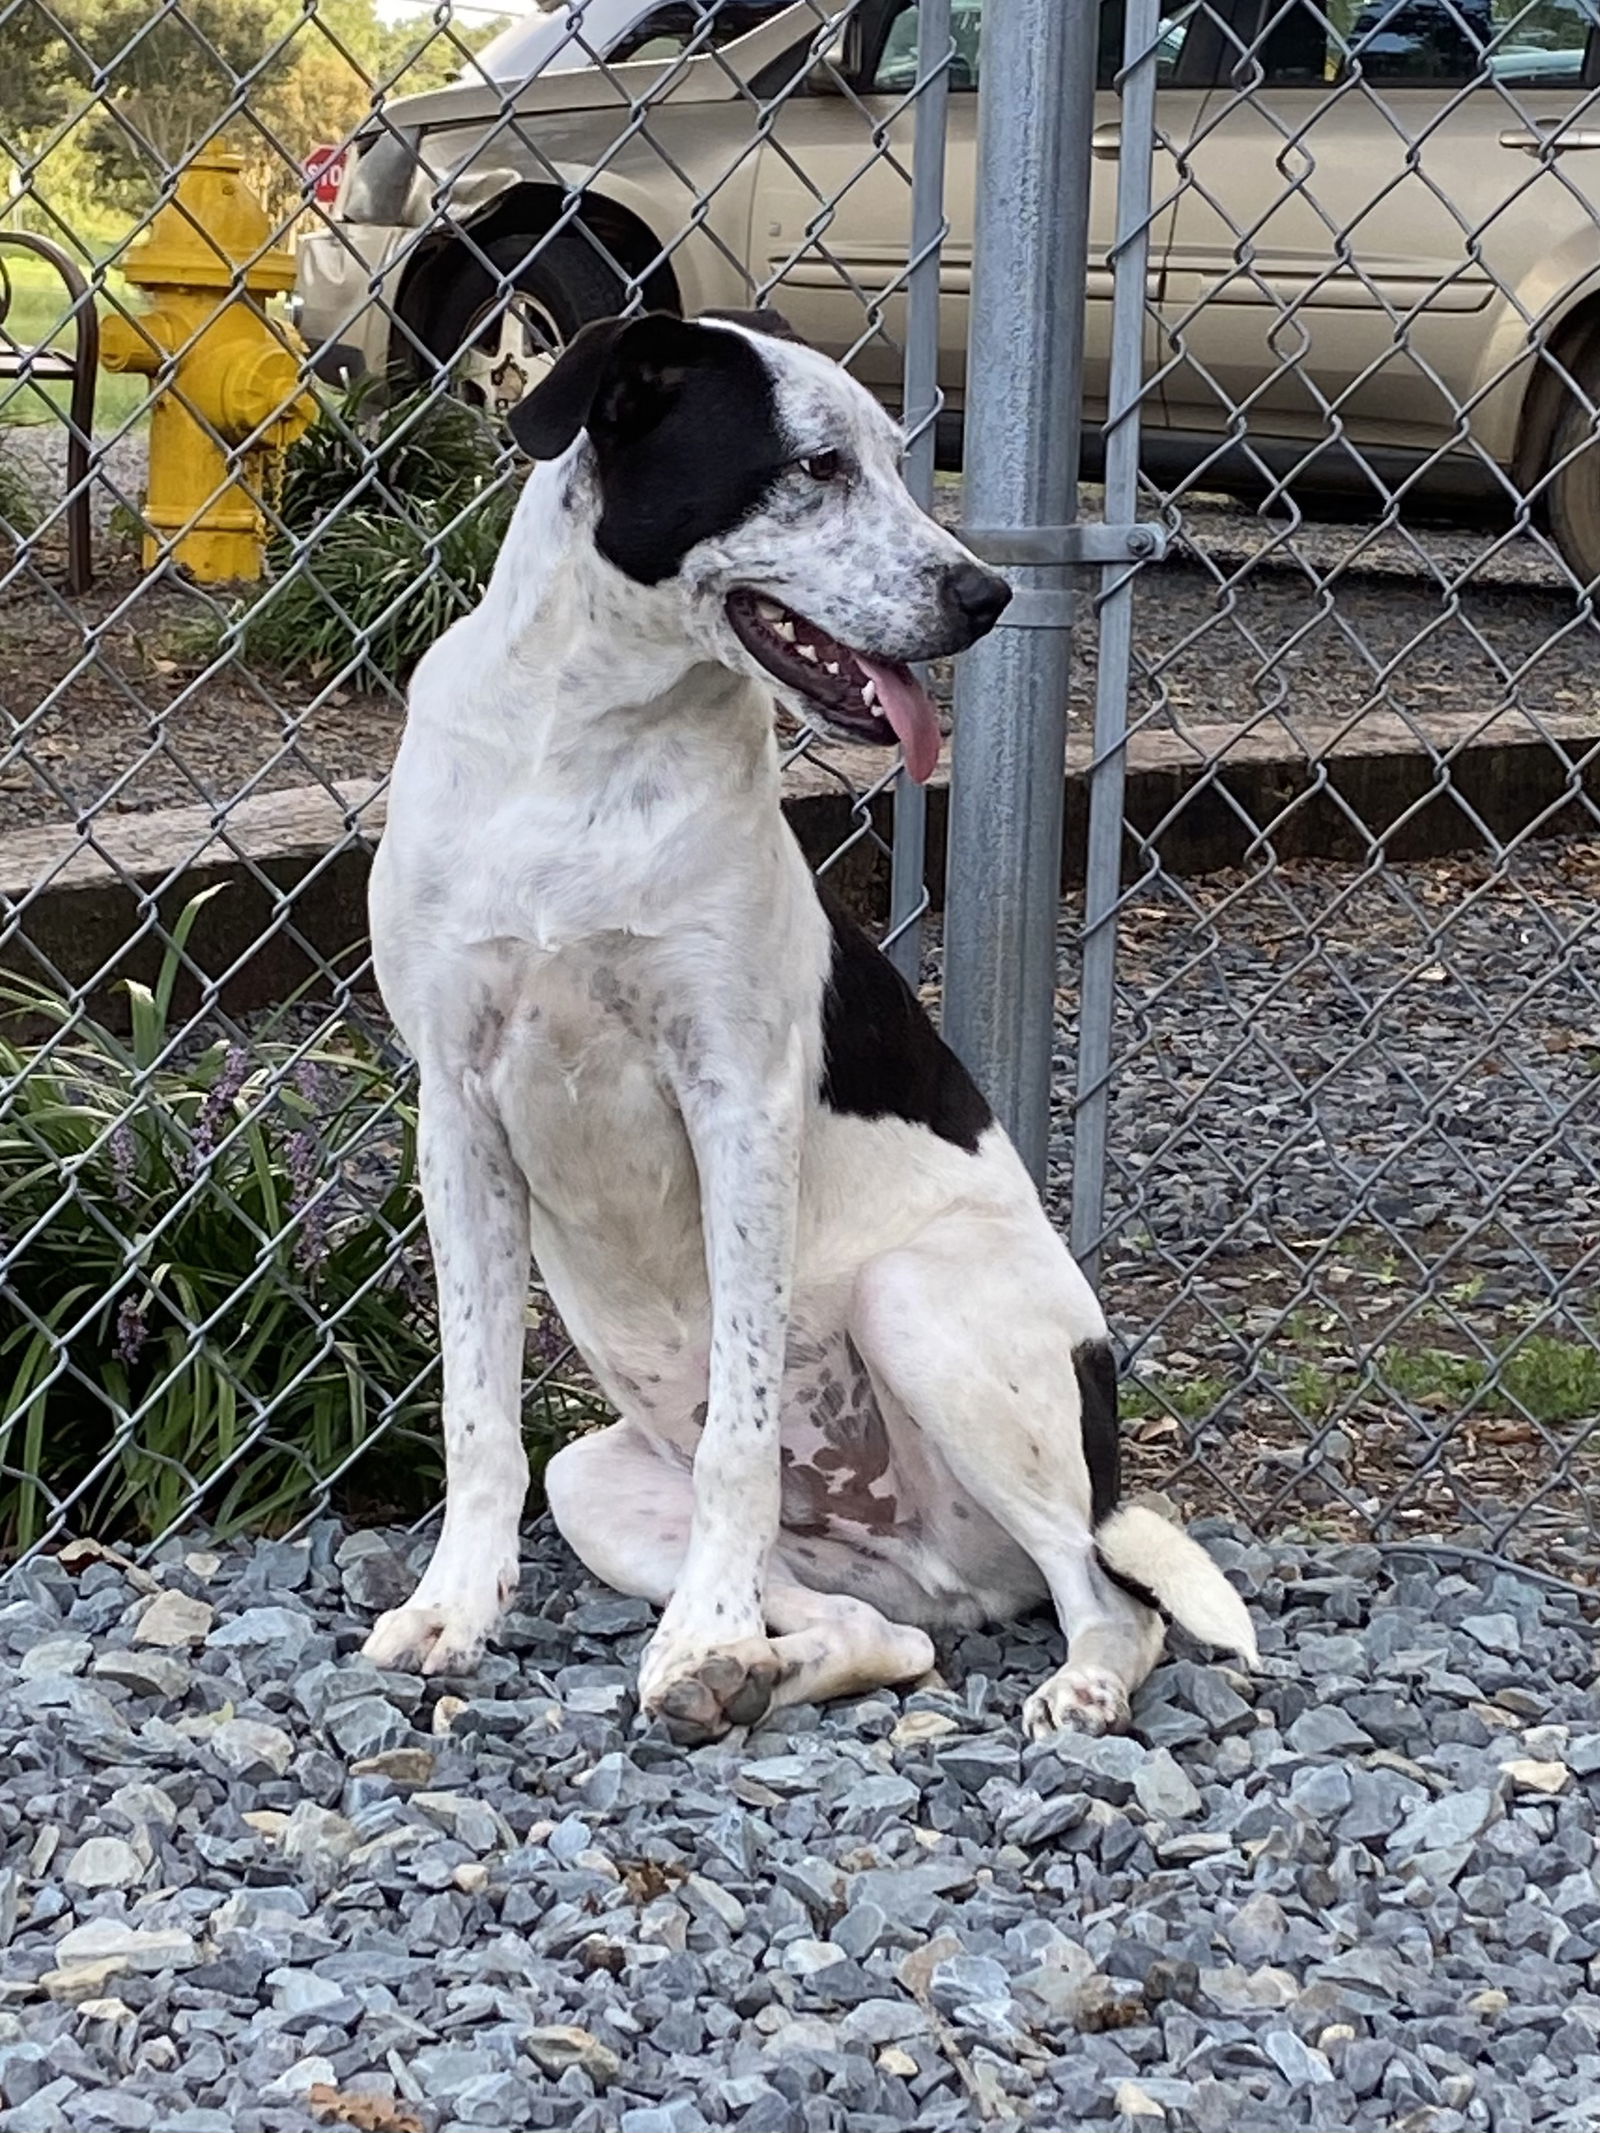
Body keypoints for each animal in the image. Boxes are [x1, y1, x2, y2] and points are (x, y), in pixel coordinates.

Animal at [362, 309, 1254, 1740]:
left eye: (901, 459)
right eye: (817, 467)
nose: (984, 597)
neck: (582, 755)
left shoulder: (735, 1103)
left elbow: (738, 1432)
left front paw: (695, 1626)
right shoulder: (457, 1115)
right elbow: (476, 1417)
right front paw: (455, 1610)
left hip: (918, 1309)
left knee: (1109, 1601)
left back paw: (1031, 1681)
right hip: (604, 1486)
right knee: (894, 1635)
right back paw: (735, 1675)